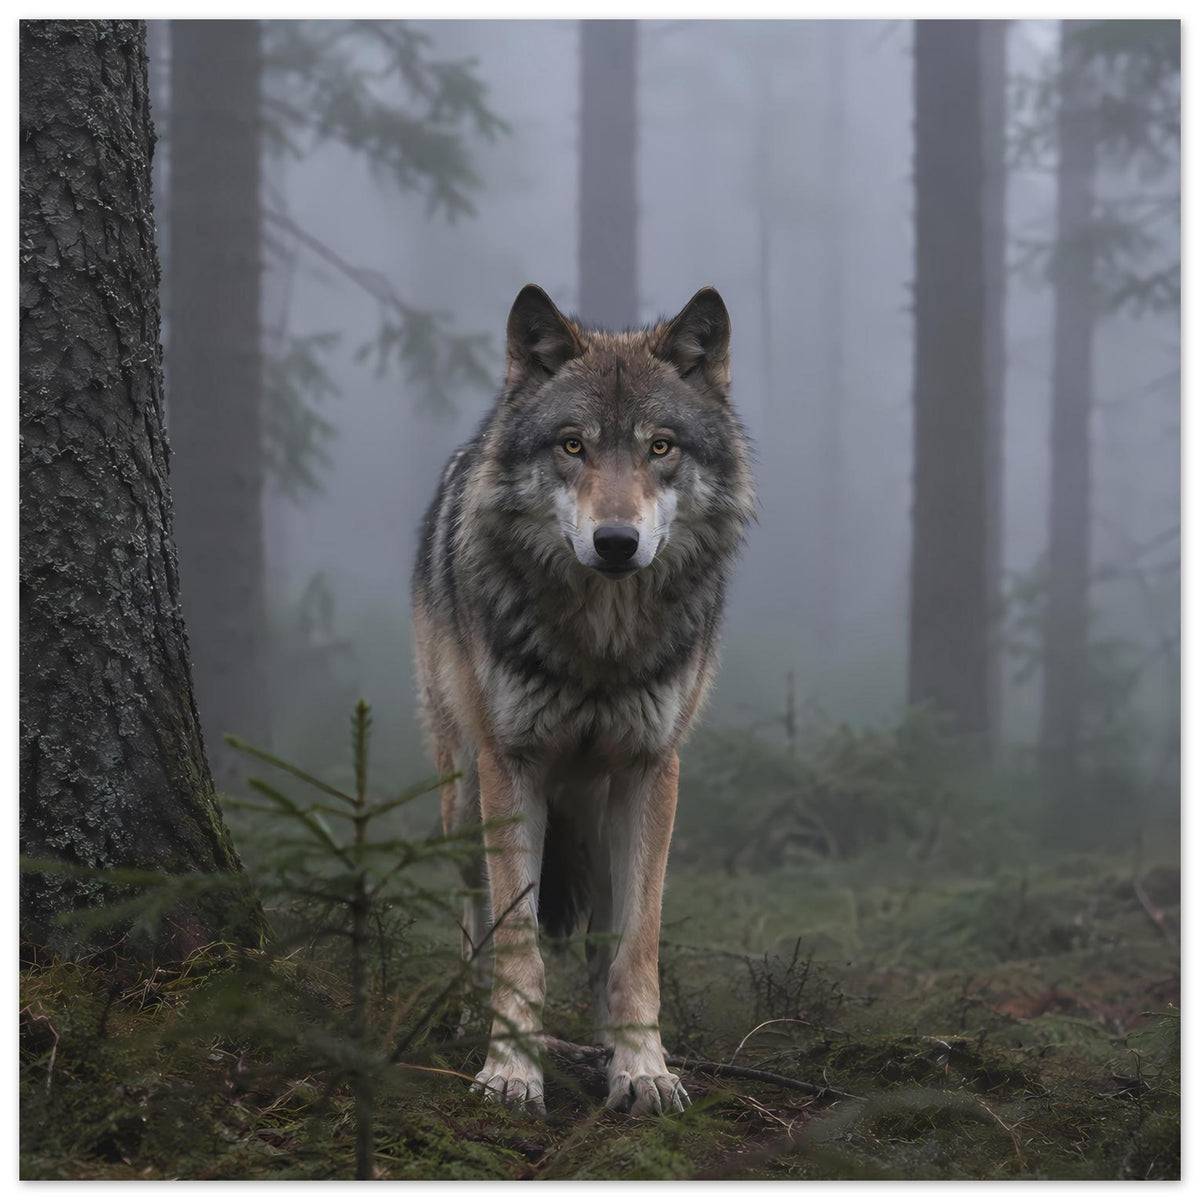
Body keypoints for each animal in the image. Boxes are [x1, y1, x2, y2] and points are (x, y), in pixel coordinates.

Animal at [412, 284, 754, 1116]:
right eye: (573, 446)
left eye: (661, 447)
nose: (616, 543)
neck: (601, 645)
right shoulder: (512, 766)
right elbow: (518, 945)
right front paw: (509, 1071)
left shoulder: (651, 770)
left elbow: (637, 948)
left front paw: (643, 1067)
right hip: (463, 798)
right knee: (473, 917)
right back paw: (464, 1018)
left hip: (598, 816)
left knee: (602, 935)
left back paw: (605, 1045)